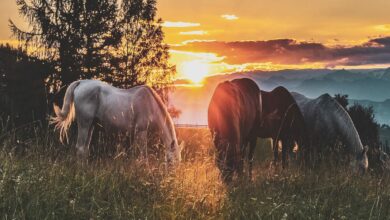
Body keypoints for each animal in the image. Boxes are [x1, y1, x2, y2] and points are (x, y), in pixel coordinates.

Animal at [51, 79, 183, 165]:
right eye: (171, 162)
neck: (151, 105)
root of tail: (81, 82)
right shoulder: (141, 132)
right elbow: (143, 155)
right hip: (84, 123)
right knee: (80, 148)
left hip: (91, 125)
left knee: (84, 149)